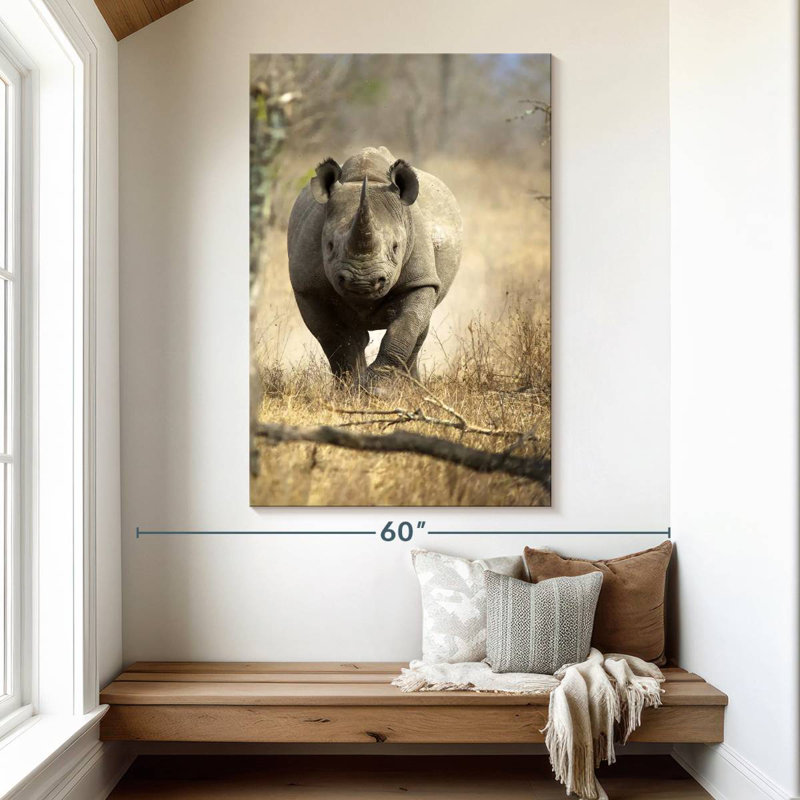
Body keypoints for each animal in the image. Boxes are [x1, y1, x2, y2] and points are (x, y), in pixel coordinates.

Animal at [287, 146, 462, 391]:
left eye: (396, 247)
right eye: (329, 246)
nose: (362, 282)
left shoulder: (420, 281)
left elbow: (405, 327)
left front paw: (377, 389)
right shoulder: (308, 289)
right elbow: (334, 338)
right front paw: (350, 389)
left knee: (421, 326)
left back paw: (412, 388)